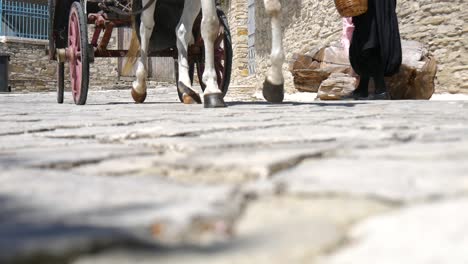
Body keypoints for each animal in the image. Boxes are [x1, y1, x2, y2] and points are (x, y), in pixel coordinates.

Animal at [126, 0, 284, 107]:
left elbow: (274, 8)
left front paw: (274, 81)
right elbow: (210, 24)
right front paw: (212, 86)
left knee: (182, 29)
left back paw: (186, 87)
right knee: (146, 27)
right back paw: (139, 86)